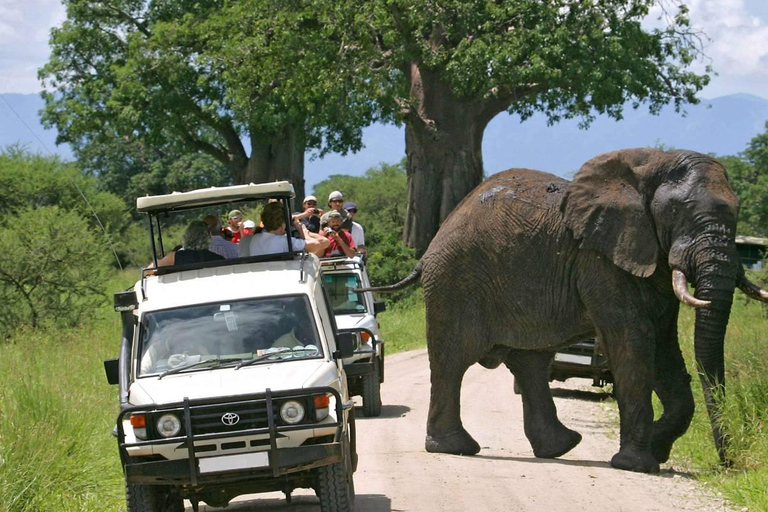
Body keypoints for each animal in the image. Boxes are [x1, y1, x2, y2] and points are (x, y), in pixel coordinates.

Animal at [364, 147, 768, 472]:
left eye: (737, 212)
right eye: (675, 212)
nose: (728, 464)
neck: (651, 165)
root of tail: (431, 246)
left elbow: (665, 347)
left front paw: (656, 449)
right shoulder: (599, 259)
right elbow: (634, 341)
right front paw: (637, 465)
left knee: (529, 362)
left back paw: (560, 447)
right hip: (455, 281)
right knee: (453, 359)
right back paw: (455, 448)